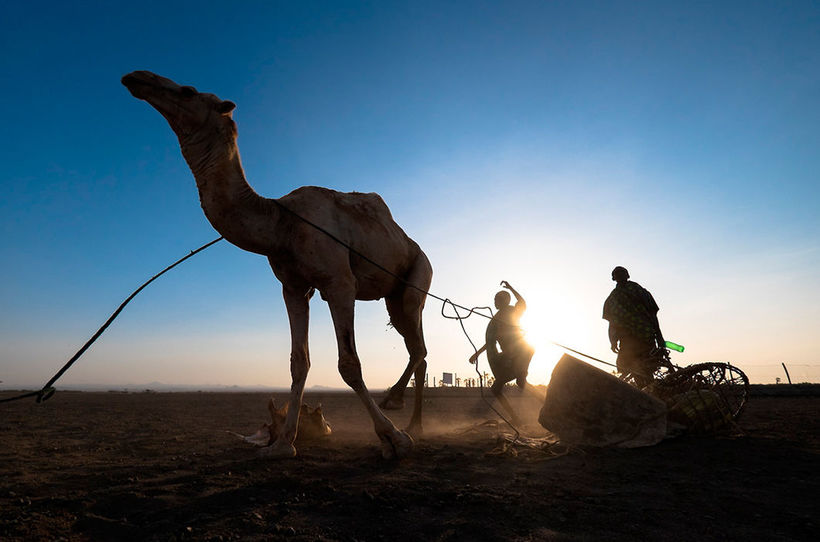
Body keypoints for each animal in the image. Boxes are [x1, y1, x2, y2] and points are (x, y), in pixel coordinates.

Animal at [121, 71, 432, 460]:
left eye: (189, 91)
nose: (137, 78)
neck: (281, 224)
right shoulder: (293, 287)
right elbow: (299, 362)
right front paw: (283, 444)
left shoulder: (339, 283)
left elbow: (349, 363)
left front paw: (392, 438)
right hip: (393, 295)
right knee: (417, 347)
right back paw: (411, 419)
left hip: (418, 276)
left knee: (418, 345)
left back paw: (401, 411)